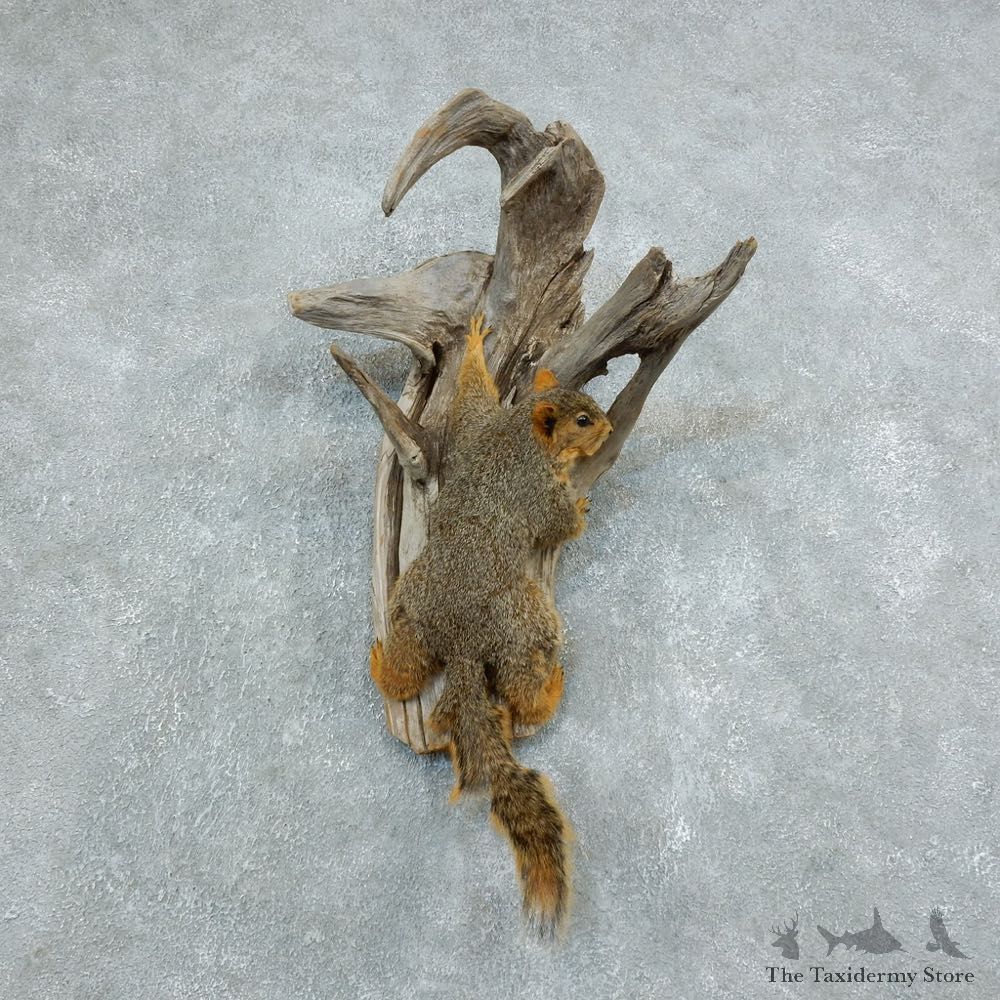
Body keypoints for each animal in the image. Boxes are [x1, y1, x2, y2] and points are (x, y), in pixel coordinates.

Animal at [369, 313, 612, 938]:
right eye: (582, 420)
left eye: (593, 405)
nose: (607, 428)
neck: (521, 434)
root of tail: (463, 642)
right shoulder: (536, 485)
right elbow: (559, 523)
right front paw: (580, 509)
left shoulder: (477, 429)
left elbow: (469, 401)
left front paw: (476, 341)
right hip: (527, 620)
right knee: (525, 689)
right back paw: (549, 690)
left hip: (410, 608)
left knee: (405, 675)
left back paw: (382, 663)